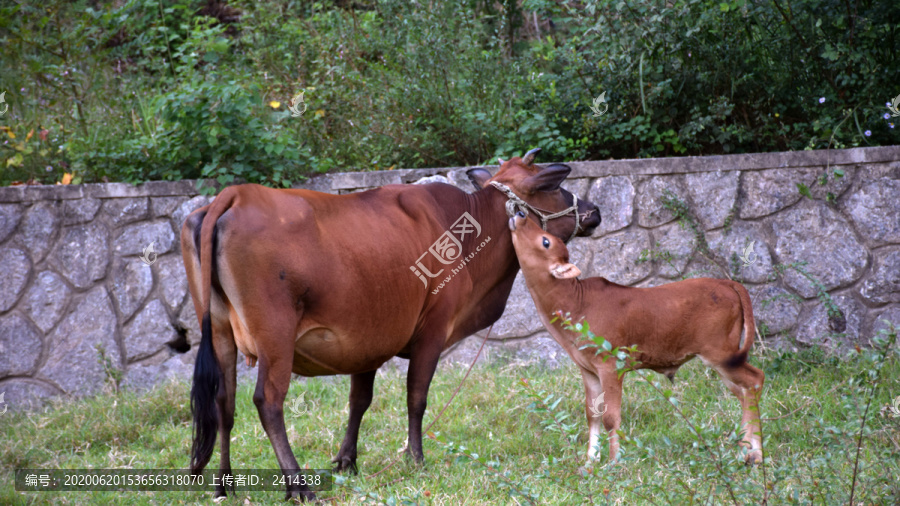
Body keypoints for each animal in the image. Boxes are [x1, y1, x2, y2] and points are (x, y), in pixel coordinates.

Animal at [182, 148, 600, 500]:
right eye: (554, 186)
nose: (594, 209)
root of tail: (234, 195)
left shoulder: (365, 342)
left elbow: (358, 401)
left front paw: (347, 460)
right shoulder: (433, 330)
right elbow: (416, 397)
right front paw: (415, 457)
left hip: (220, 332)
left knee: (224, 402)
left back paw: (224, 484)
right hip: (275, 336)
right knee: (267, 402)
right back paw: (298, 485)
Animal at [510, 211, 764, 464]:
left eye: (545, 241)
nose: (520, 214)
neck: (575, 303)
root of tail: (727, 283)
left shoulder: (610, 364)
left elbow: (610, 417)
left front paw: (614, 462)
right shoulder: (587, 369)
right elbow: (592, 414)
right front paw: (590, 462)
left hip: (720, 353)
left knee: (755, 380)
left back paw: (750, 453)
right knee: (743, 392)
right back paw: (750, 451)